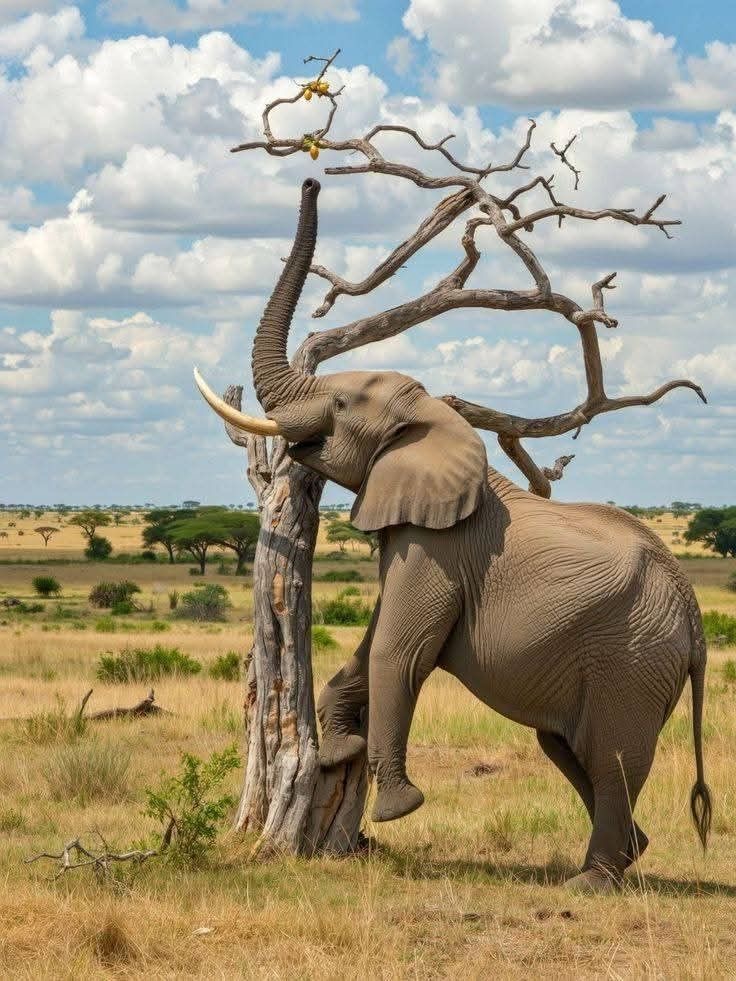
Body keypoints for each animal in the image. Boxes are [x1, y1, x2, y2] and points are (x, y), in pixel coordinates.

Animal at [195, 178, 711, 892]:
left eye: (341, 405)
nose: (311, 181)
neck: (434, 422)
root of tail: (694, 621)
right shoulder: (413, 534)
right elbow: (374, 643)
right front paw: (339, 746)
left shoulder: (438, 545)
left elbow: (400, 649)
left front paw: (395, 807)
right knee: (569, 747)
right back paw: (626, 855)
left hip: (634, 656)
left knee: (609, 756)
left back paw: (590, 885)